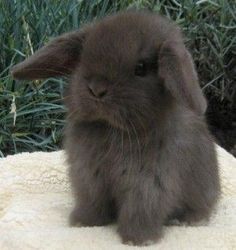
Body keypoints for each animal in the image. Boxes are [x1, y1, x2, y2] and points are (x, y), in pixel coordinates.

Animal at [12, 10, 220, 245]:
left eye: (141, 68)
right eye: (83, 56)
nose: (96, 89)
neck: (112, 129)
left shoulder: (149, 183)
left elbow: (140, 210)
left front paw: (138, 240)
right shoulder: (89, 176)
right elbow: (92, 202)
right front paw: (83, 222)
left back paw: (190, 220)